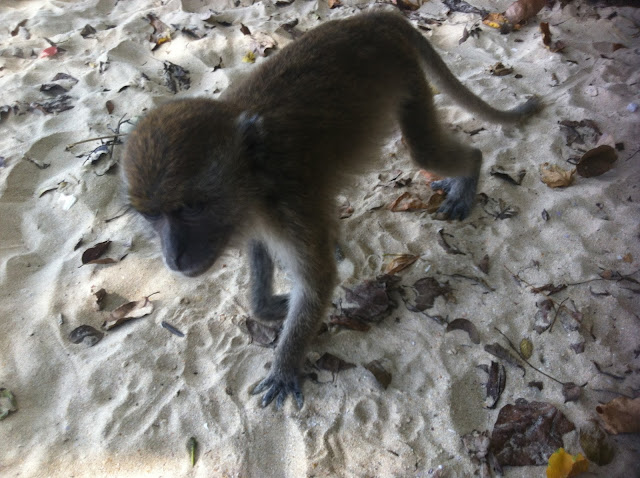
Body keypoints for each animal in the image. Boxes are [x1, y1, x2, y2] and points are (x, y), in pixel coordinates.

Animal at [121, 11, 540, 408]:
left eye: (191, 208)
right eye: (153, 216)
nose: (173, 256)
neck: (257, 170)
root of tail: (368, 18)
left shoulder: (291, 202)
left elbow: (317, 281)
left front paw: (285, 366)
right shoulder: (252, 213)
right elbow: (262, 251)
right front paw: (270, 306)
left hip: (404, 72)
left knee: (425, 149)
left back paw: (470, 170)